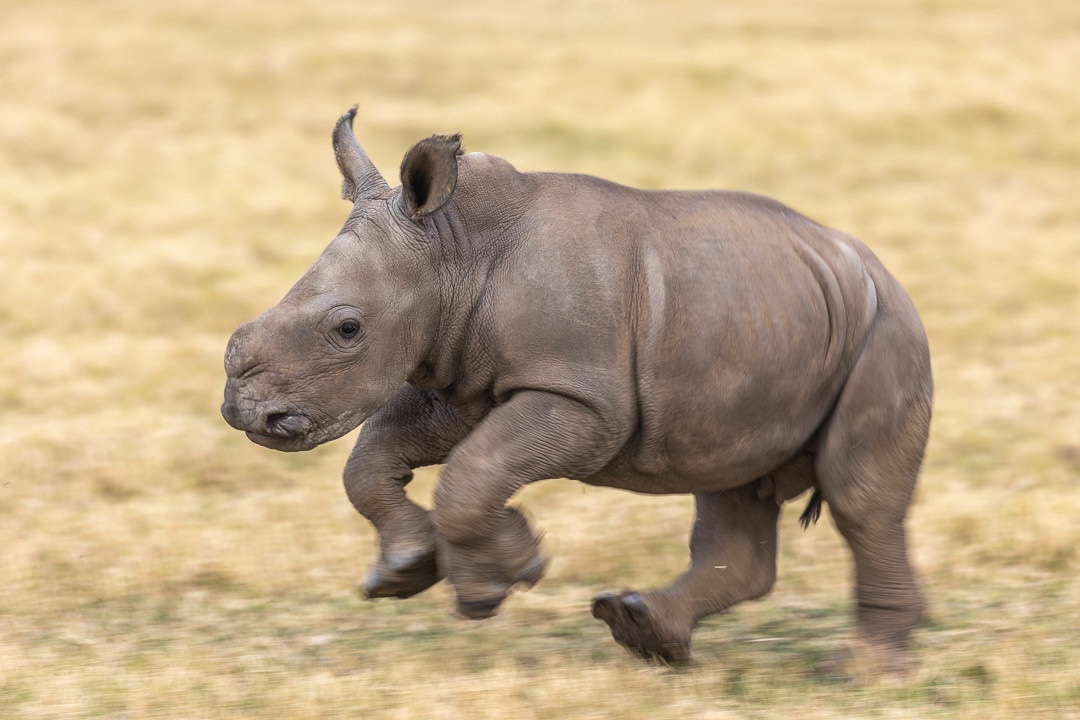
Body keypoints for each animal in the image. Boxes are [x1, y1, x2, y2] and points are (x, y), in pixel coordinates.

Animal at [219, 105, 928, 677]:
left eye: (347, 328)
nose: (243, 412)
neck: (453, 249)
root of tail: (879, 269)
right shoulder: (462, 379)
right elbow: (374, 458)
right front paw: (405, 572)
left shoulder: (582, 400)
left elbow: (473, 472)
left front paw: (498, 583)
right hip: (767, 317)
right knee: (730, 483)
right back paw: (643, 632)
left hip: (886, 332)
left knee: (859, 498)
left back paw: (860, 675)